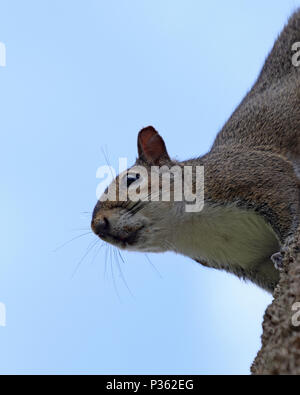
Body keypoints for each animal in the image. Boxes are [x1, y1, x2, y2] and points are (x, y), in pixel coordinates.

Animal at [90, 10, 300, 294]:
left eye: (131, 179)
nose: (98, 226)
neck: (193, 228)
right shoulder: (251, 264)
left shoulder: (253, 174)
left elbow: (287, 202)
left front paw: (288, 246)